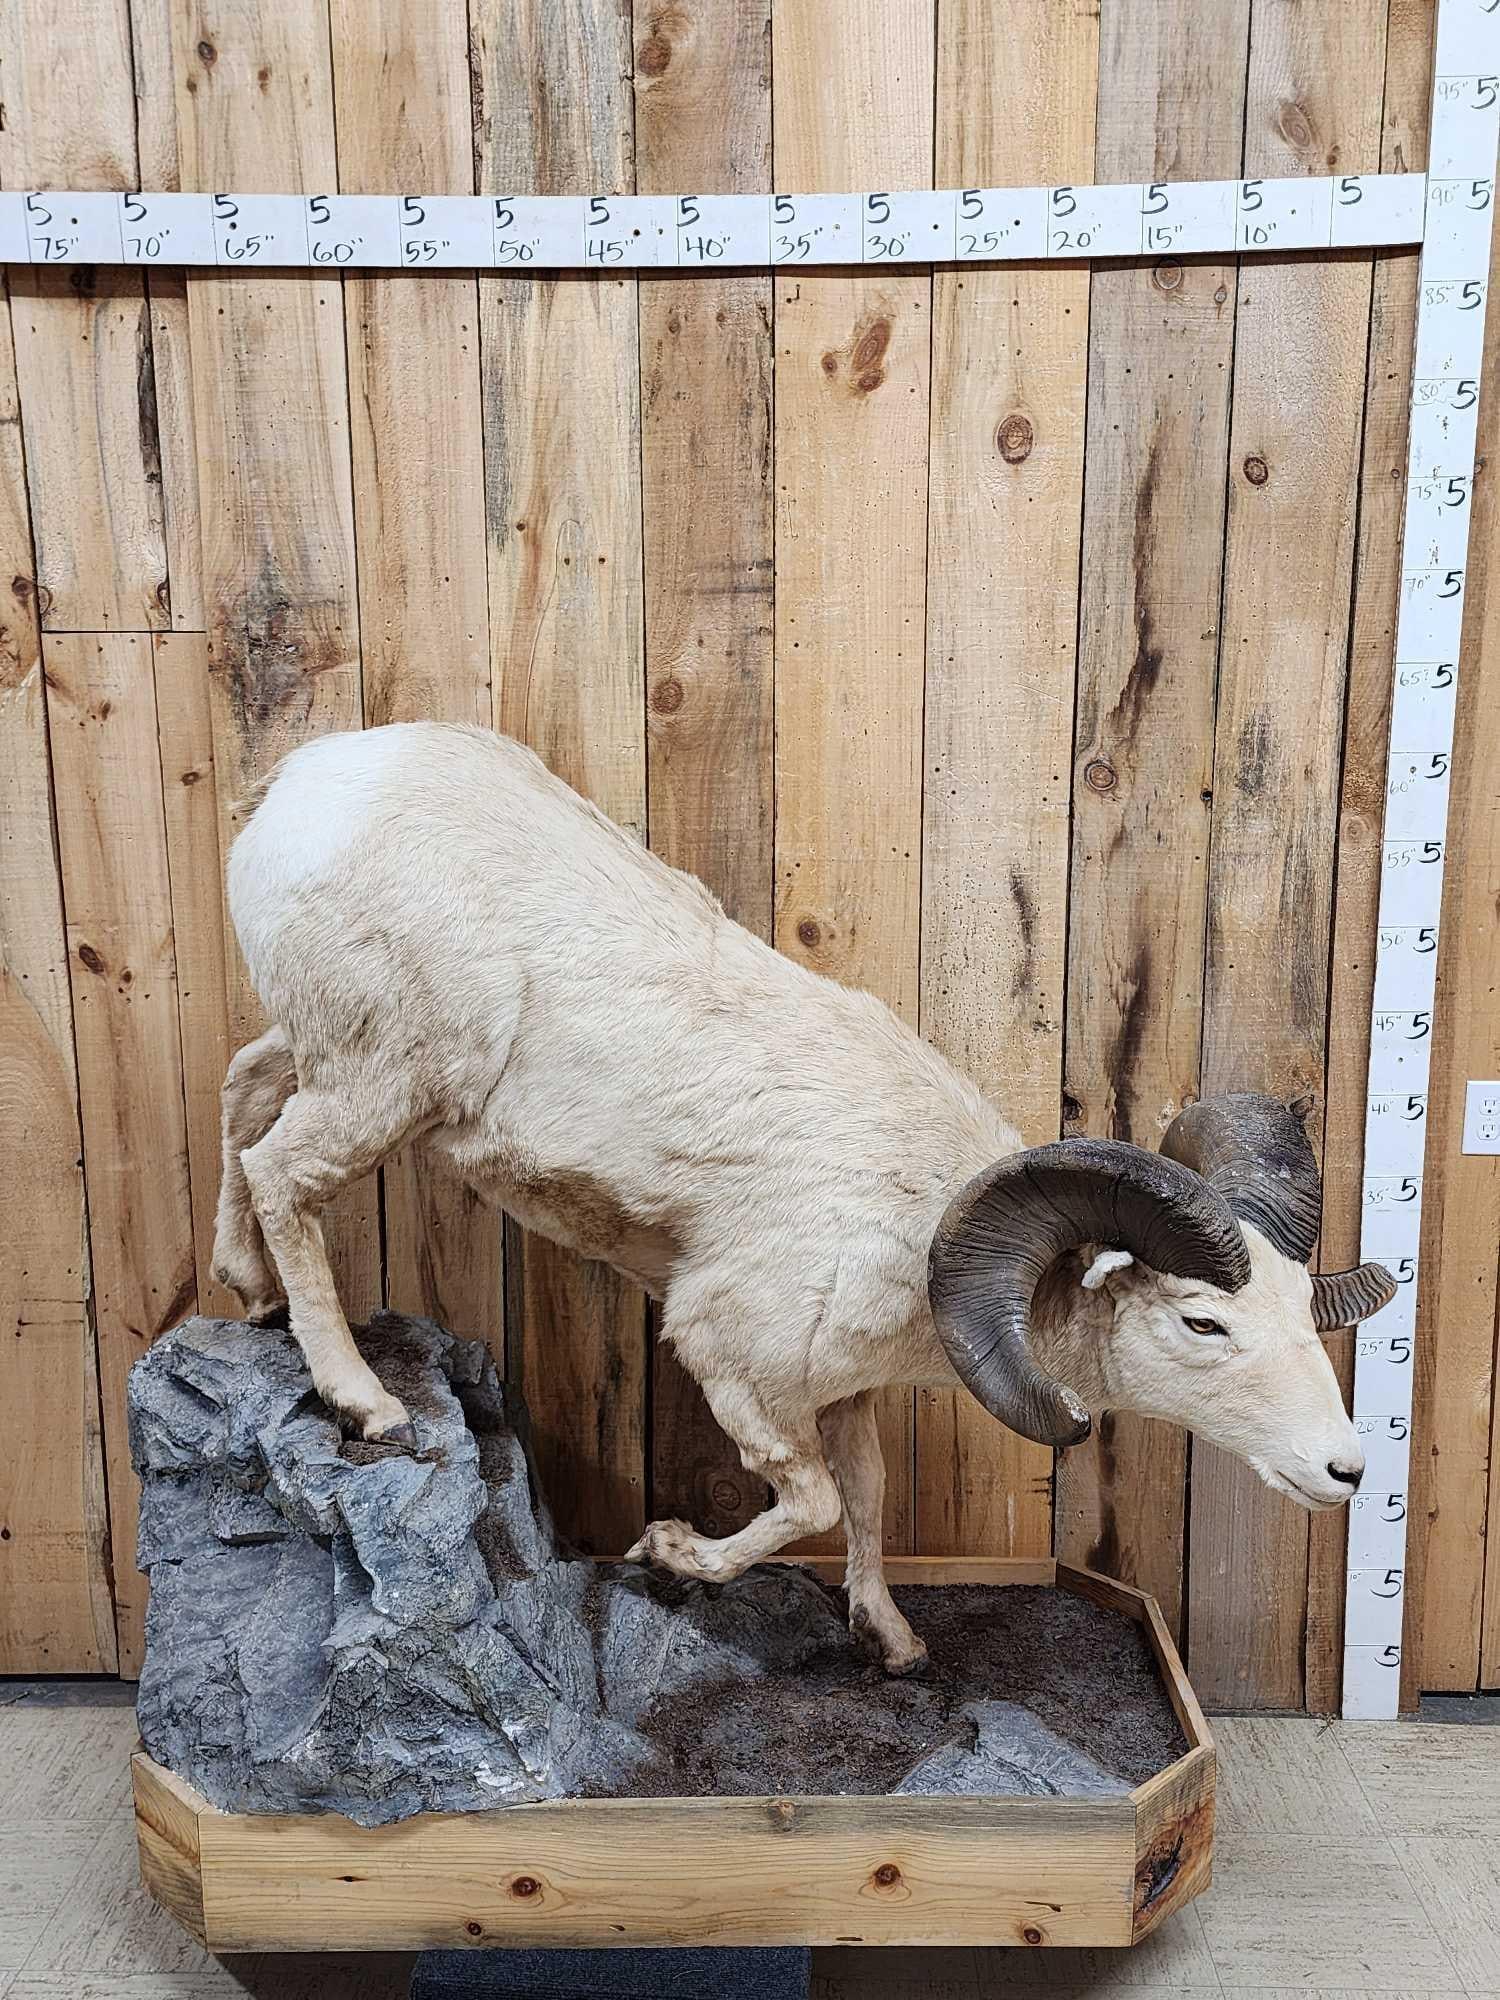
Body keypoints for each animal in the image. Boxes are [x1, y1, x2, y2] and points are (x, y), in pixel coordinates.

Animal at [214, 721, 1395, 1675]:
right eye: (1202, 1322)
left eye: (1302, 1312)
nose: (1345, 1469)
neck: (913, 1218)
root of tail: (307, 782)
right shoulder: (732, 1358)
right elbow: (815, 1499)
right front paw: (671, 1551)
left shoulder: (844, 1396)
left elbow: (867, 1501)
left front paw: (893, 1642)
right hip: (381, 1081)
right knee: (283, 1174)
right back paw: (362, 1399)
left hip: (325, 1053)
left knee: (242, 1092)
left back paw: (246, 1289)